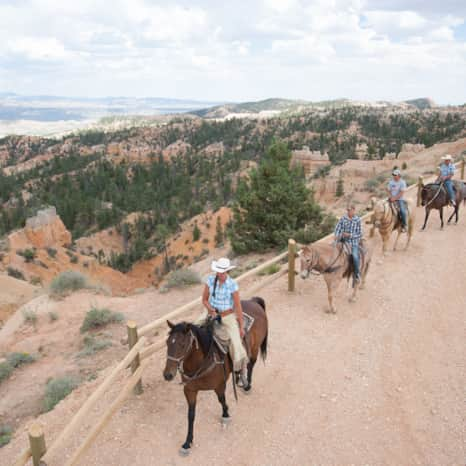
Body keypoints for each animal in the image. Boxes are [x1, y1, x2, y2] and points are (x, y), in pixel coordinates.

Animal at [163, 298, 266, 456]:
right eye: (167, 342)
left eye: (182, 344)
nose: (167, 374)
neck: (202, 362)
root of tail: (253, 301)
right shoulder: (189, 391)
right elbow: (191, 415)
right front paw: (188, 442)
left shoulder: (219, 385)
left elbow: (221, 400)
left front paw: (226, 414)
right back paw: (238, 378)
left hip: (254, 349)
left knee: (251, 365)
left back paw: (247, 385)